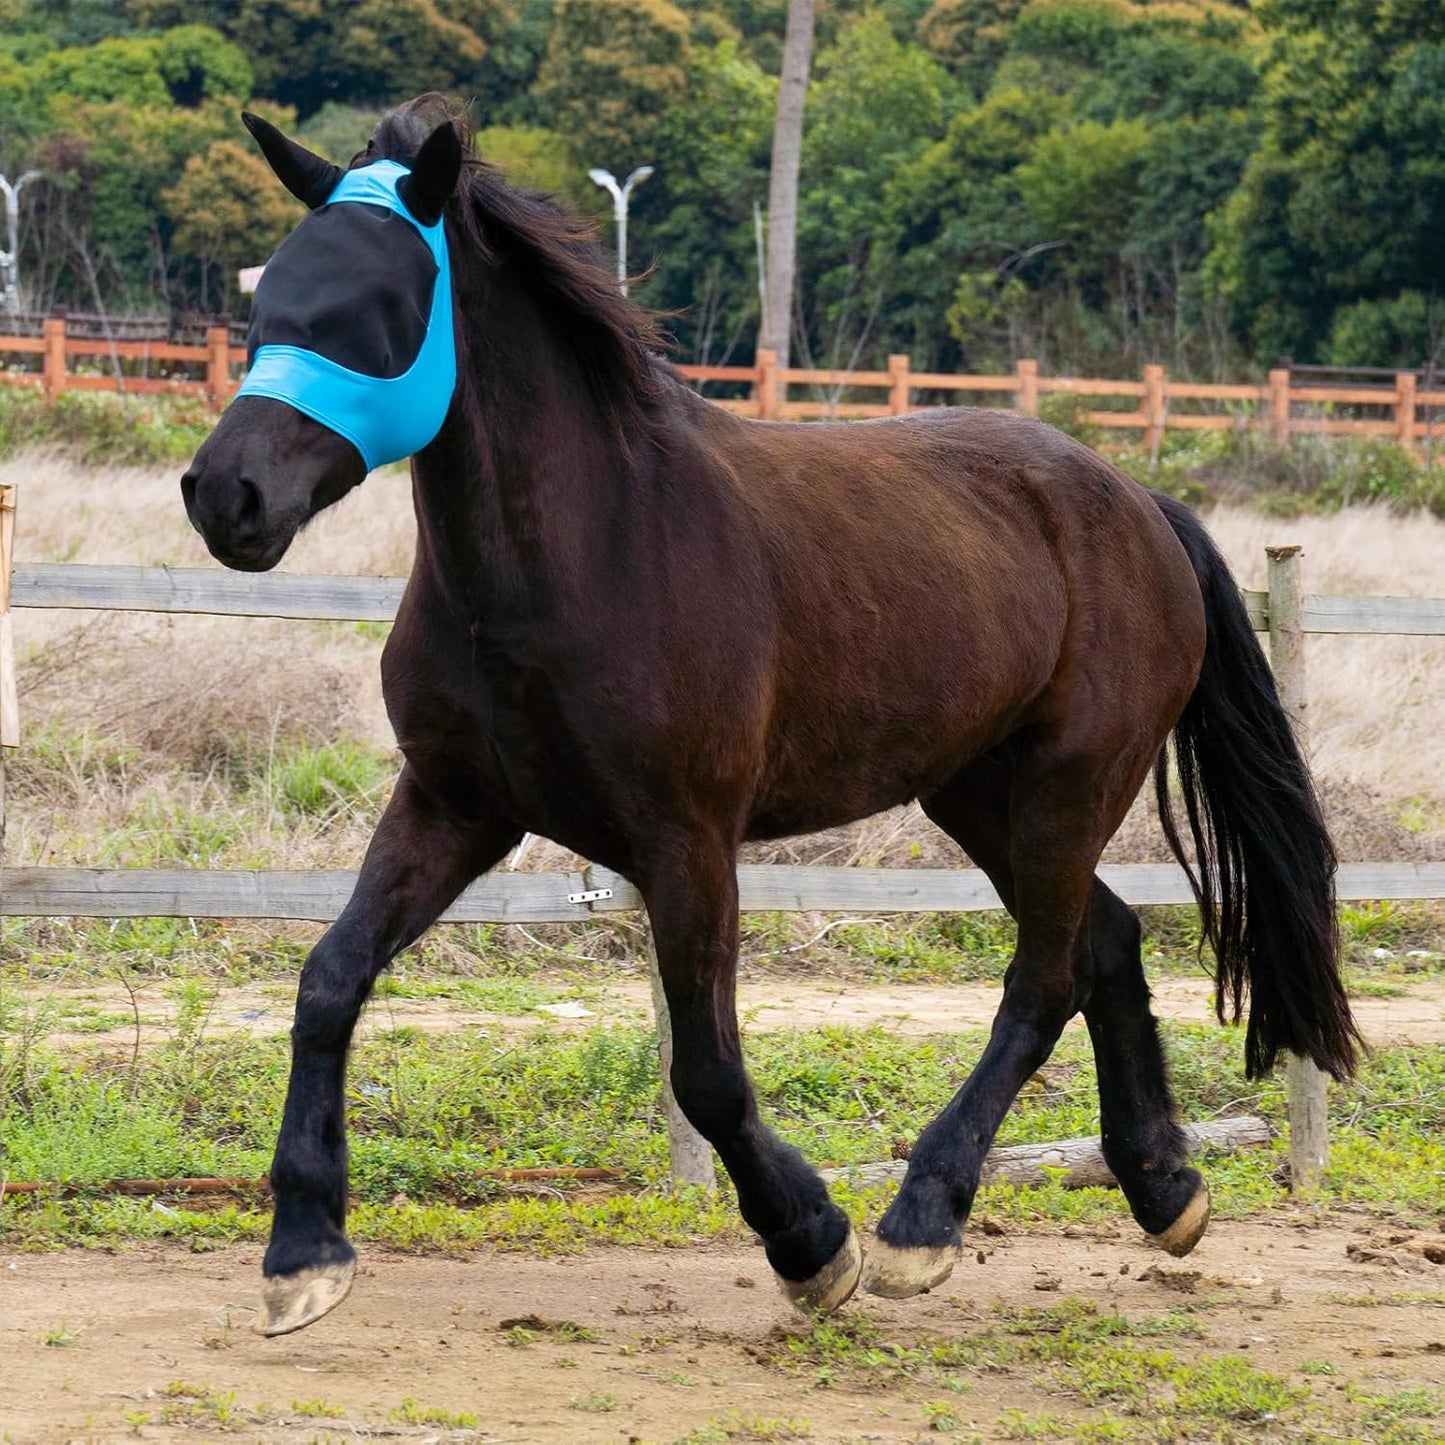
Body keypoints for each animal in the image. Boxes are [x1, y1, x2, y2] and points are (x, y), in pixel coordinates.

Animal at [181, 94, 1358, 1338]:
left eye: (381, 307)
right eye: (267, 301)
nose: (225, 495)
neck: (579, 554)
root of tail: (1137, 502)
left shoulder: (686, 842)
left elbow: (705, 1069)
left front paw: (810, 1241)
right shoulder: (455, 807)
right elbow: (328, 980)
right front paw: (302, 1250)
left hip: (1067, 783)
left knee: (1041, 979)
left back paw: (918, 1221)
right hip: (979, 793)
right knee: (1105, 943)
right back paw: (1163, 1189)